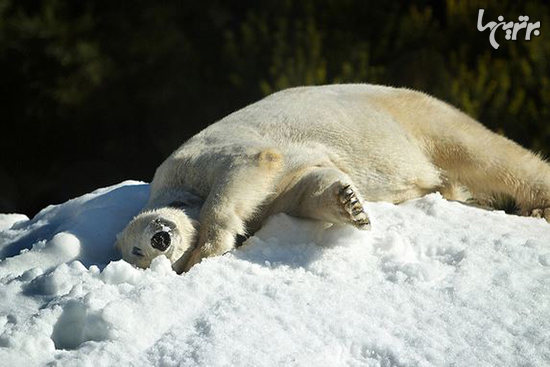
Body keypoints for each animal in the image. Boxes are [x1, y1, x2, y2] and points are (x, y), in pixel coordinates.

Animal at [115, 84, 550, 274]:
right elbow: (304, 186)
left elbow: (251, 163)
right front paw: (350, 205)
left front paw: (206, 251)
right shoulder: (275, 199)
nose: (161, 239)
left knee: (486, 153)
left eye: (145, 240)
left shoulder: (195, 158)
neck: (177, 189)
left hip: (413, 117)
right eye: (138, 254)